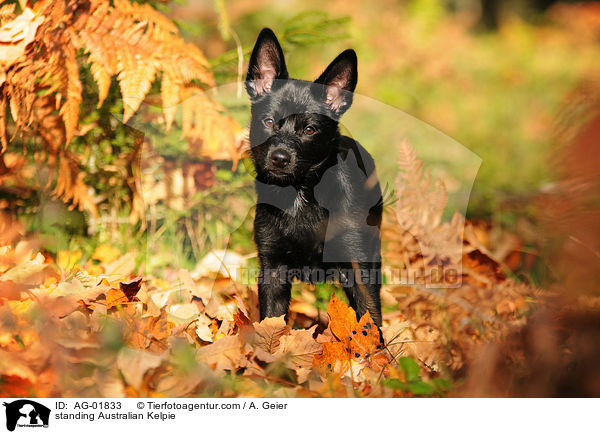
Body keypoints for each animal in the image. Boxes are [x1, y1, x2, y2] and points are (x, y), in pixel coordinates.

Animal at [245, 28, 382, 326]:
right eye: (268, 122)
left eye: (309, 130)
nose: (280, 158)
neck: (300, 194)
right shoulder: (272, 267)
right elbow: (271, 320)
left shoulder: (358, 268)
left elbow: (371, 322)